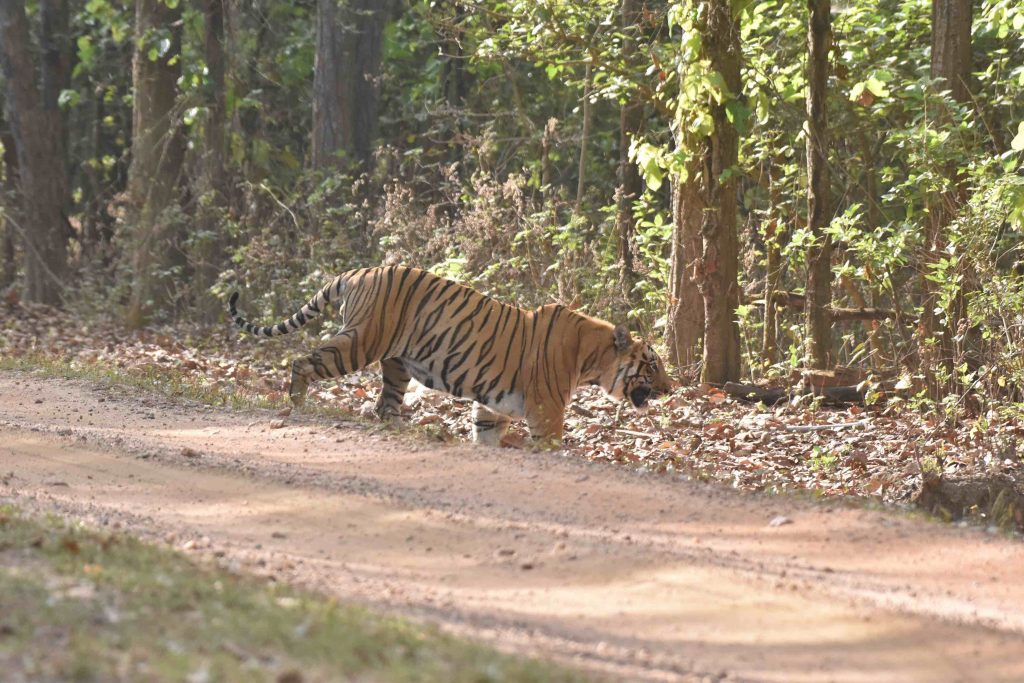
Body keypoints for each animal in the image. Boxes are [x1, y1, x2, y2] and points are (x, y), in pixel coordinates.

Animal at [227, 266, 671, 448]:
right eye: (652, 365)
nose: (671, 389)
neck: (592, 359)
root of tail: (359, 271)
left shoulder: (494, 407)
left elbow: (485, 435)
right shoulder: (546, 412)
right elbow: (551, 445)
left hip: (396, 366)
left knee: (385, 405)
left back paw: (402, 430)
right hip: (359, 343)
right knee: (302, 363)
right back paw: (296, 406)